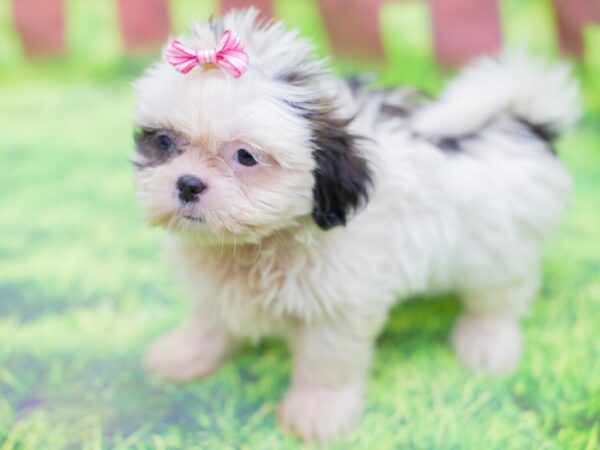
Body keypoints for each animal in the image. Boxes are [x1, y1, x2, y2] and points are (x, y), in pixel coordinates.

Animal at [132, 7, 580, 442]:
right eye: (164, 142)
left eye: (245, 156)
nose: (188, 184)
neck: (266, 241)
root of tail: (520, 121)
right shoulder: (216, 283)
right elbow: (209, 318)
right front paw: (186, 352)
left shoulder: (339, 305)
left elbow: (325, 360)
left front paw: (319, 409)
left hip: (497, 247)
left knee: (501, 297)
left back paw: (487, 341)